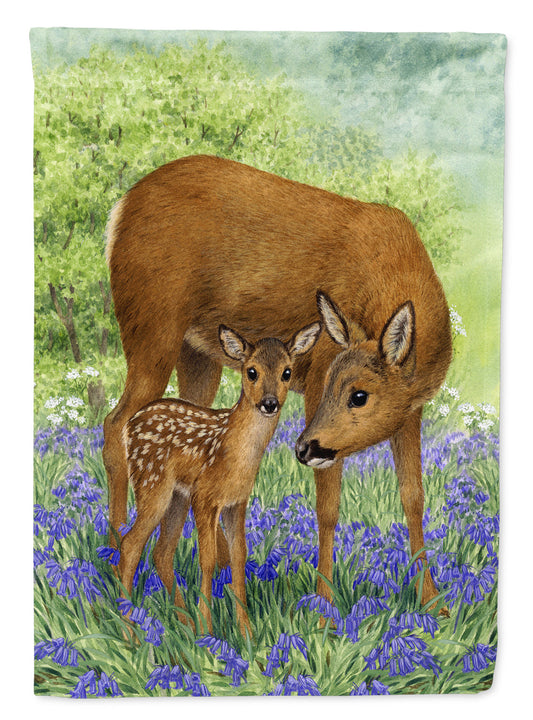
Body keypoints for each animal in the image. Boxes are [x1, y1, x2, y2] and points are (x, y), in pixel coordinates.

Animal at [118, 322, 321, 635]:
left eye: (287, 372)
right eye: (251, 371)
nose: (270, 403)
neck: (234, 456)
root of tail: (128, 428)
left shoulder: (236, 502)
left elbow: (239, 556)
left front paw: (245, 631)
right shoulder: (205, 497)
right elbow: (209, 559)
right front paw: (208, 630)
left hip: (177, 496)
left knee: (161, 552)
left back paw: (184, 623)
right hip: (152, 483)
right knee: (130, 545)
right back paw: (130, 632)